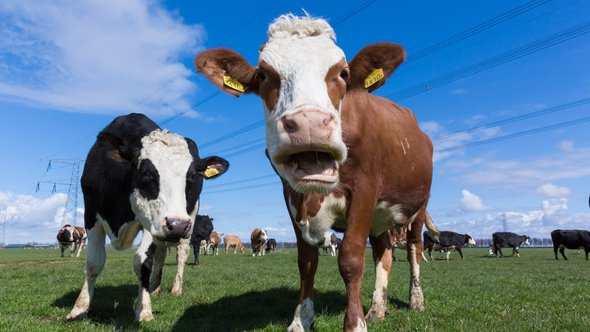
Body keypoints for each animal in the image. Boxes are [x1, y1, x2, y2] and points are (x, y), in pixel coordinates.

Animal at [66, 113, 229, 322]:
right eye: (146, 172)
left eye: (192, 176)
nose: (177, 225)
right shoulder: (91, 214)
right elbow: (95, 262)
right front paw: (79, 308)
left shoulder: (153, 222)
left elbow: (142, 263)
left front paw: (143, 310)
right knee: (160, 253)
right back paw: (154, 287)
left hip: (187, 218)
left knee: (181, 252)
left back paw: (175, 288)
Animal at [199, 14, 434, 330]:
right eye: (262, 75)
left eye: (344, 73)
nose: (309, 123)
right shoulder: (290, 194)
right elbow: (307, 261)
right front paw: (301, 319)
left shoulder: (365, 190)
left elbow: (351, 259)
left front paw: (355, 323)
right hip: (380, 217)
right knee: (383, 253)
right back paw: (377, 308)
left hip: (418, 206)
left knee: (413, 249)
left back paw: (415, 300)